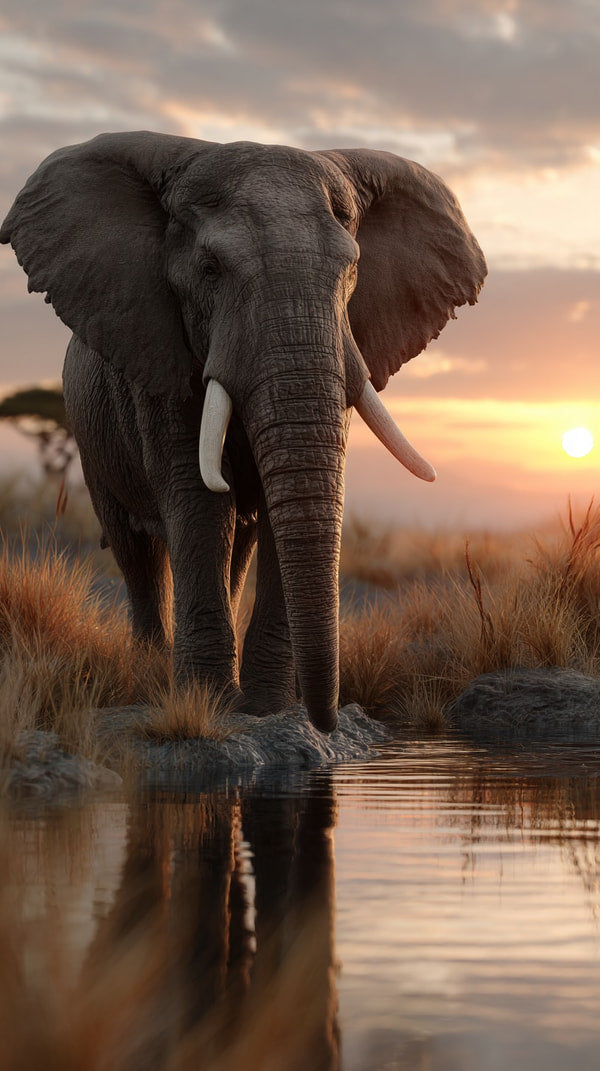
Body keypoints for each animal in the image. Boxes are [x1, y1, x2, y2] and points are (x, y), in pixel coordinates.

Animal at [1, 132, 486, 732]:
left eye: (352, 270)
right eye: (210, 270)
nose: (326, 720)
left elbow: (287, 502)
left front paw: (265, 709)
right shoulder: (163, 357)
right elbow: (199, 499)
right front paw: (208, 703)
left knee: (239, 541)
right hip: (89, 434)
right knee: (136, 551)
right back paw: (150, 672)